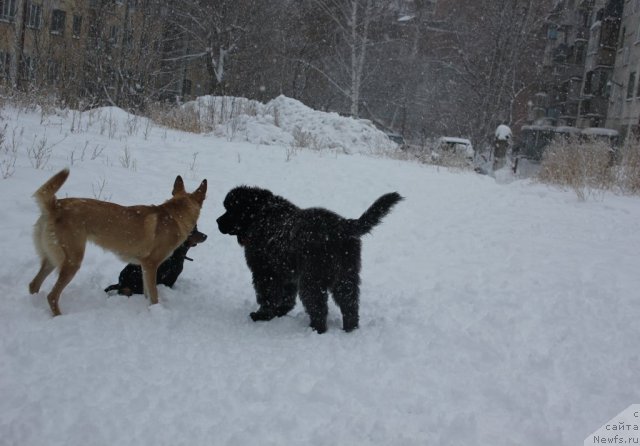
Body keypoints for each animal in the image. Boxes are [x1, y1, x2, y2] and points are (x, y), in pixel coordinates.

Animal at [28, 168, 208, 318]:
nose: (206, 236)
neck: (174, 217)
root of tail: (55, 205)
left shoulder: (144, 267)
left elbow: (146, 293)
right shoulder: (151, 265)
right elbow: (154, 296)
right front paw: (157, 312)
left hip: (52, 258)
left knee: (34, 285)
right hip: (72, 261)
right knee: (52, 296)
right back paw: (60, 317)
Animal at [218, 186, 402, 332]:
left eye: (230, 210)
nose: (217, 221)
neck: (259, 215)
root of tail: (343, 226)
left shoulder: (264, 272)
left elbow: (267, 296)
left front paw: (262, 315)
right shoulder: (287, 272)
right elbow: (286, 297)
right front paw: (280, 312)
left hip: (312, 279)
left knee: (318, 307)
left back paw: (316, 329)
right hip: (346, 275)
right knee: (350, 303)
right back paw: (349, 329)